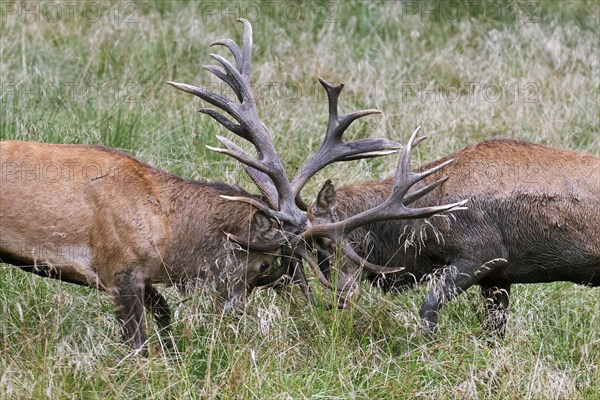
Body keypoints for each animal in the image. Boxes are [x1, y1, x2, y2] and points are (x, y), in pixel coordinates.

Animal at [0, 20, 464, 354]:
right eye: (265, 264)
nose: (236, 315)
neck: (165, 229)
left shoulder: (143, 277)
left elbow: (166, 320)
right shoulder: (119, 267)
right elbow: (138, 347)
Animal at [310, 138, 600, 334]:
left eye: (325, 241)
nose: (339, 297)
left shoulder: (482, 254)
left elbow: (428, 309)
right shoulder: (498, 277)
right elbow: (493, 332)